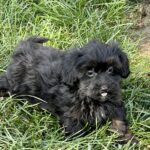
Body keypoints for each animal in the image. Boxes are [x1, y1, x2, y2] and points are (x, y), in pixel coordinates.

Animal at [0, 37, 136, 144]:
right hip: (14, 82)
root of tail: (24, 48)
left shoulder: (114, 105)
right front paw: (80, 143)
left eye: (110, 70)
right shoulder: (71, 114)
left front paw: (128, 140)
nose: (104, 88)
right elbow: (75, 131)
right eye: (90, 73)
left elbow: (118, 122)